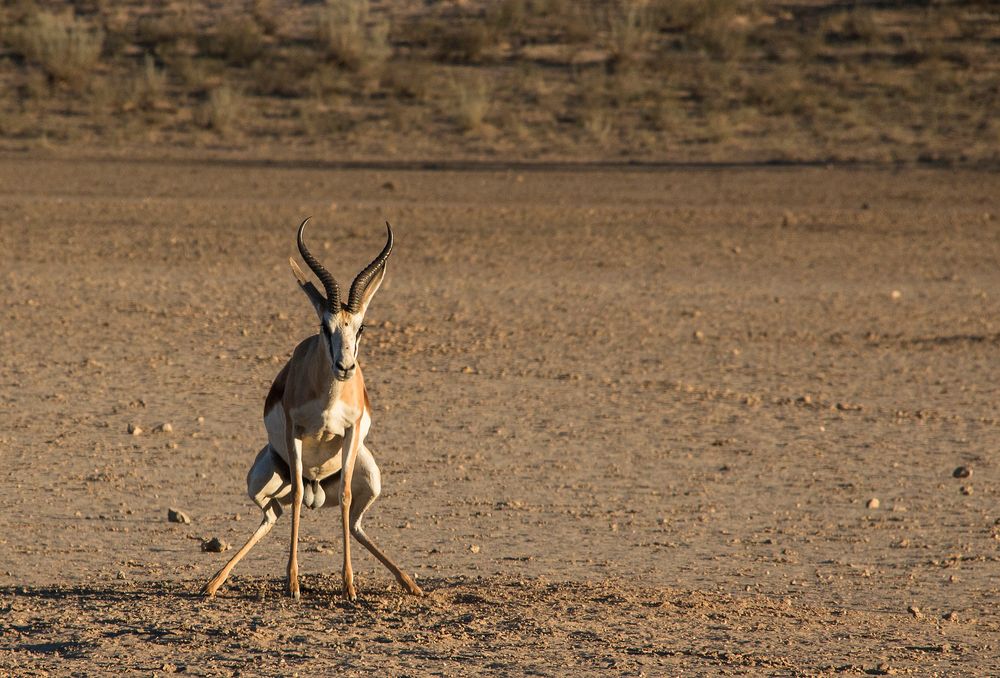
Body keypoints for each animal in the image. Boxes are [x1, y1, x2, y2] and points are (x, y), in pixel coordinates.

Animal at [203, 220, 422, 604]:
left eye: (361, 327)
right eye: (324, 325)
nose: (345, 367)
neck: (328, 398)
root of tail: (319, 490)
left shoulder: (351, 432)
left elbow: (346, 497)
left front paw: (350, 586)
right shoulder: (296, 432)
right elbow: (295, 501)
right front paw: (292, 583)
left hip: (371, 475)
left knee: (354, 522)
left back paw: (409, 583)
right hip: (262, 478)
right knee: (276, 512)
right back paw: (213, 583)